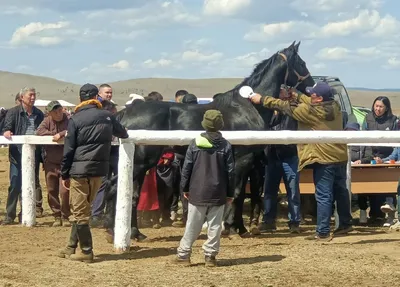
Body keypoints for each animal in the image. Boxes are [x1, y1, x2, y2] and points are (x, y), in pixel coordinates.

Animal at [104, 40, 316, 241]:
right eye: (302, 63)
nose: (312, 86)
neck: (247, 106)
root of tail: (125, 113)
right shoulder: (243, 159)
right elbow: (236, 194)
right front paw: (233, 228)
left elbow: (239, 194)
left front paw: (238, 228)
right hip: (140, 163)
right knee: (116, 189)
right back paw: (114, 232)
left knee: (130, 195)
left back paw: (134, 233)